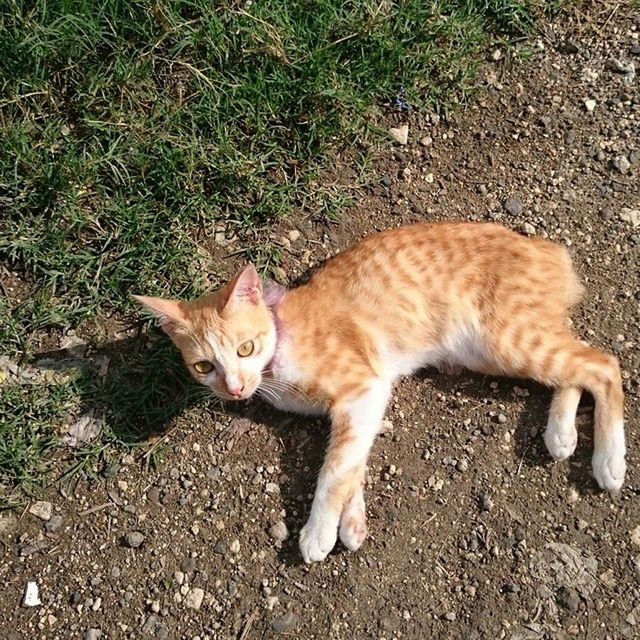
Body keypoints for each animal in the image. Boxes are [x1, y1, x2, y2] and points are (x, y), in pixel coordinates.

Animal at [134, 222, 624, 564]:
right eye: (204, 367)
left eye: (245, 348)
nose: (234, 389)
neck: (280, 342)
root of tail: (546, 248)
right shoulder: (361, 403)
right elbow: (352, 461)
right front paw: (351, 523)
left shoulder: (363, 388)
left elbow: (335, 469)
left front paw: (318, 532)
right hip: (497, 350)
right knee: (572, 369)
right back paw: (561, 434)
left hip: (507, 339)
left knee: (603, 364)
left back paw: (609, 461)